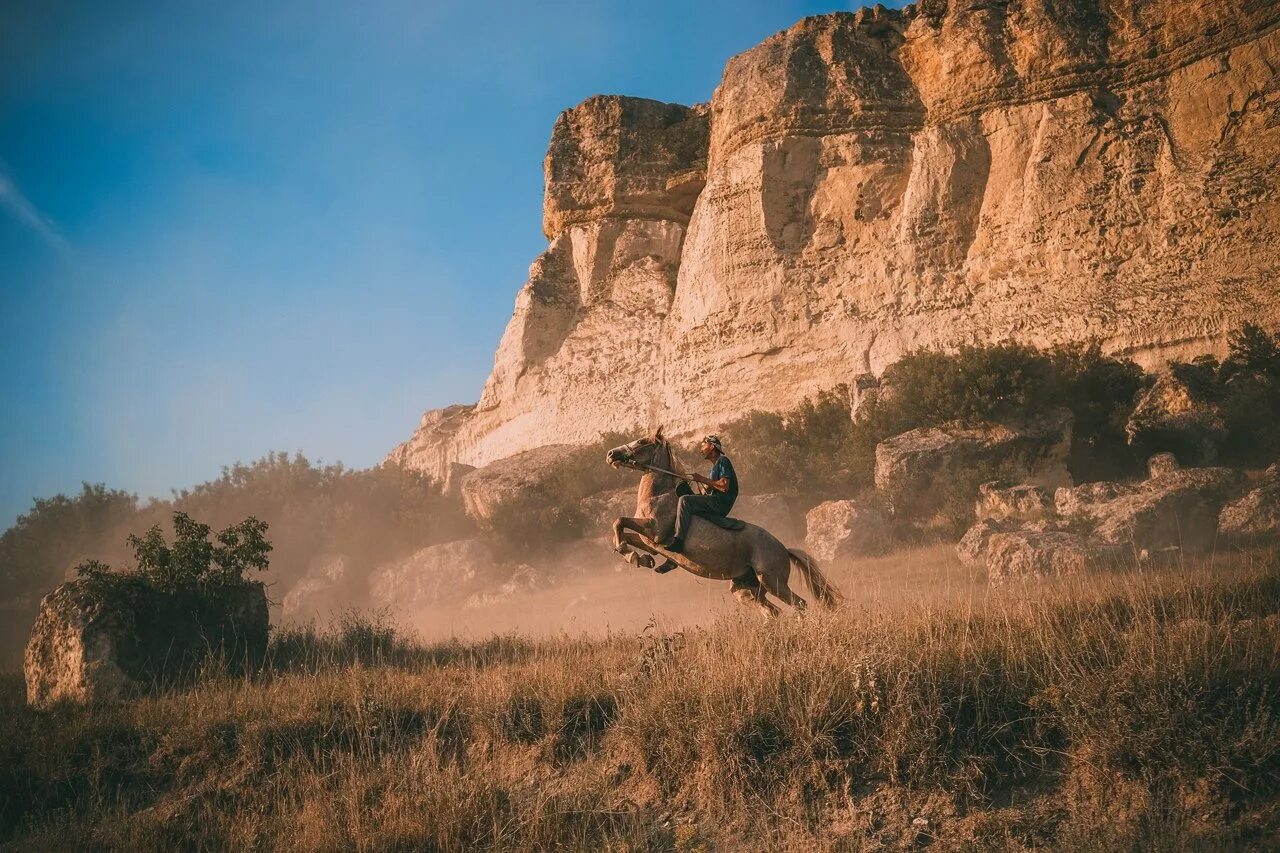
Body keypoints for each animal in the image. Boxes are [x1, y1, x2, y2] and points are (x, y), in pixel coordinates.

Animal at [606, 427, 844, 614]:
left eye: (642, 441)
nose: (611, 454)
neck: (659, 494)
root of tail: (784, 549)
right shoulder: (650, 541)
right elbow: (626, 534)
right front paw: (642, 558)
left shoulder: (654, 530)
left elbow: (619, 521)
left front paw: (632, 556)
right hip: (746, 589)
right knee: (772, 611)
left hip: (772, 581)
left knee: (799, 604)